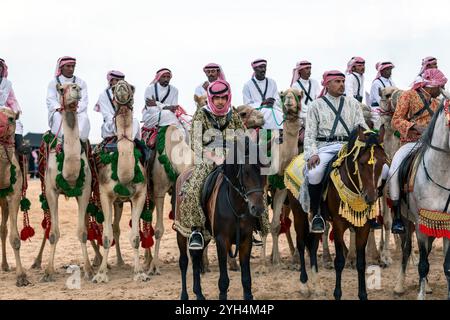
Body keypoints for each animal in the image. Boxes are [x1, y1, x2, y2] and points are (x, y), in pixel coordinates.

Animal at [40, 83, 93, 282]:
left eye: (79, 86)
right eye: (61, 89)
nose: (76, 88)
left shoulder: (84, 191)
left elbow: (83, 233)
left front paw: (89, 270)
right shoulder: (51, 191)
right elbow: (54, 233)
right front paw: (48, 272)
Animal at [92, 80, 149, 282]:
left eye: (131, 87)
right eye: (114, 87)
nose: (122, 85)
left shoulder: (140, 195)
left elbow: (135, 237)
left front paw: (140, 273)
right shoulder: (105, 195)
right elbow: (106, 236)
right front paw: (100, 275)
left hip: (120, 201)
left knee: (116, 227)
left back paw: (121, 262)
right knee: (107, 228)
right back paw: (107, 263)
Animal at [324, 125, 386, 300]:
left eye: (383, 162)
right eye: (362, 163)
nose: (371, 197)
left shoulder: (364, 227)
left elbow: (361, 263)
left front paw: (363, 294)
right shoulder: (338, 225)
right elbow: (339, 262)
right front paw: (337, 294)